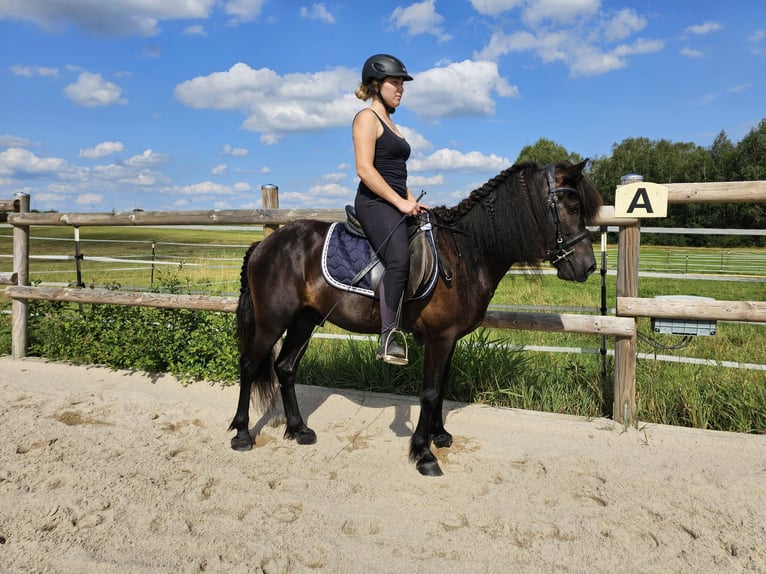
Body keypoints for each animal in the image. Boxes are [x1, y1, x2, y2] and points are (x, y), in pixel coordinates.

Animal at [231, 161, 604, 476]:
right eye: (572, 207)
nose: (587, 266)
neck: (466, 253)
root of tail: (265, 245)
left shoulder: (450, 338)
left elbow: (441, 388)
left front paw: (440, 435)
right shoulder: (439, 337)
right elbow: (428, 391)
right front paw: (424, 454)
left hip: (304, 320)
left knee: (285, 367)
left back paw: (298, 429)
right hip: (272, 321)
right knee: (249, 366)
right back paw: (242, 434)